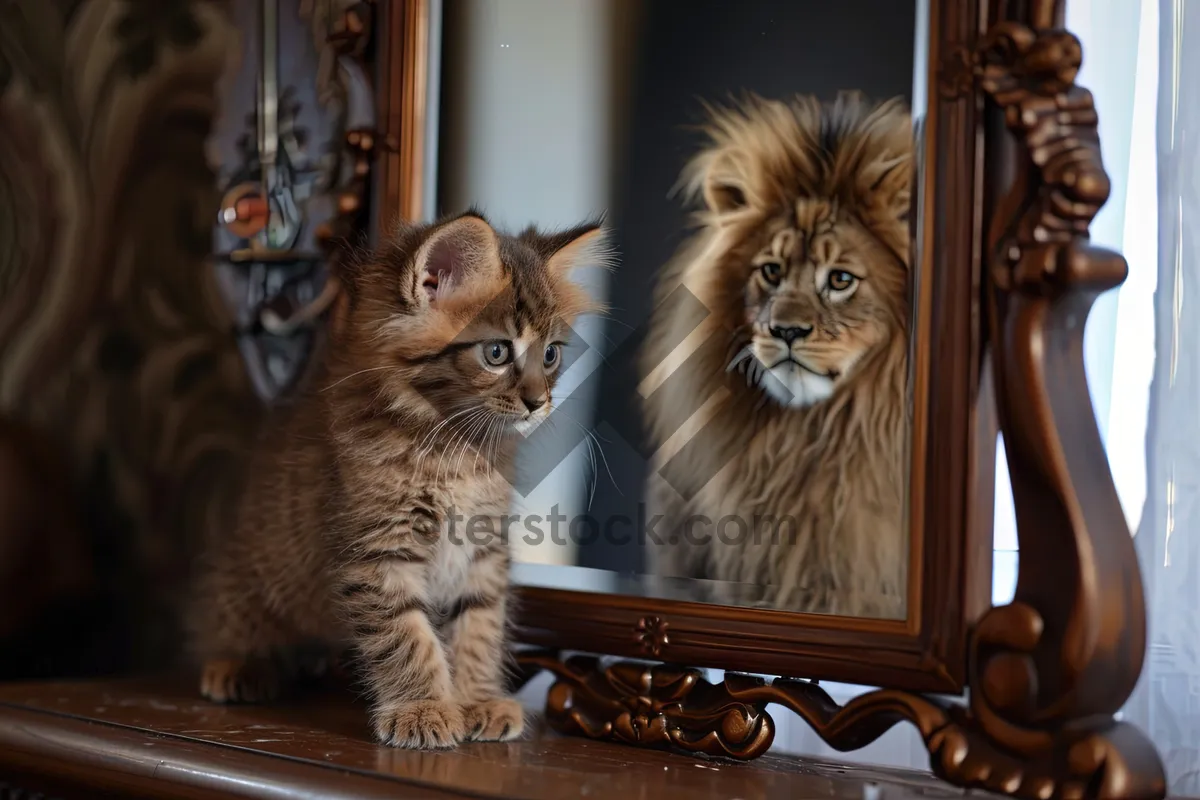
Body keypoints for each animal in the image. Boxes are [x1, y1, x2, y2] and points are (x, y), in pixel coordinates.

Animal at [193, 209, 609, 748]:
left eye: (552, 355)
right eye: (498, 352)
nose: (539, 402)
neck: (453, 449)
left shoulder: (482, 549)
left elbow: (479, 625)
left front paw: (476, 699)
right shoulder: (378, 550)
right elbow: (407, 636)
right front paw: (423, 709)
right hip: (251, 569)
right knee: (227, 614)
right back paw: (237, 665)